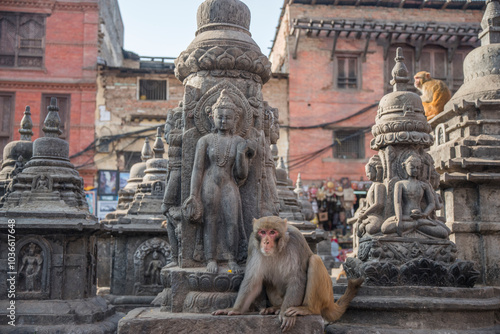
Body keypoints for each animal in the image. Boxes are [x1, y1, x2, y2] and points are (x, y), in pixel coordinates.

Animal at [211, 217, 364, 332]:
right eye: (262, 232)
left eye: (272, 232)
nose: (266, 241)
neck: (278, 249)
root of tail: (330, 302)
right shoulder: (253, 245)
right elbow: (253, 280)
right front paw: (235, 309)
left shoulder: (296, 241)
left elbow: (297, 279)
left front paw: (286, 315)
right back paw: (277, 308)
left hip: (324, 296)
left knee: (315, 260)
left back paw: (306, 309)